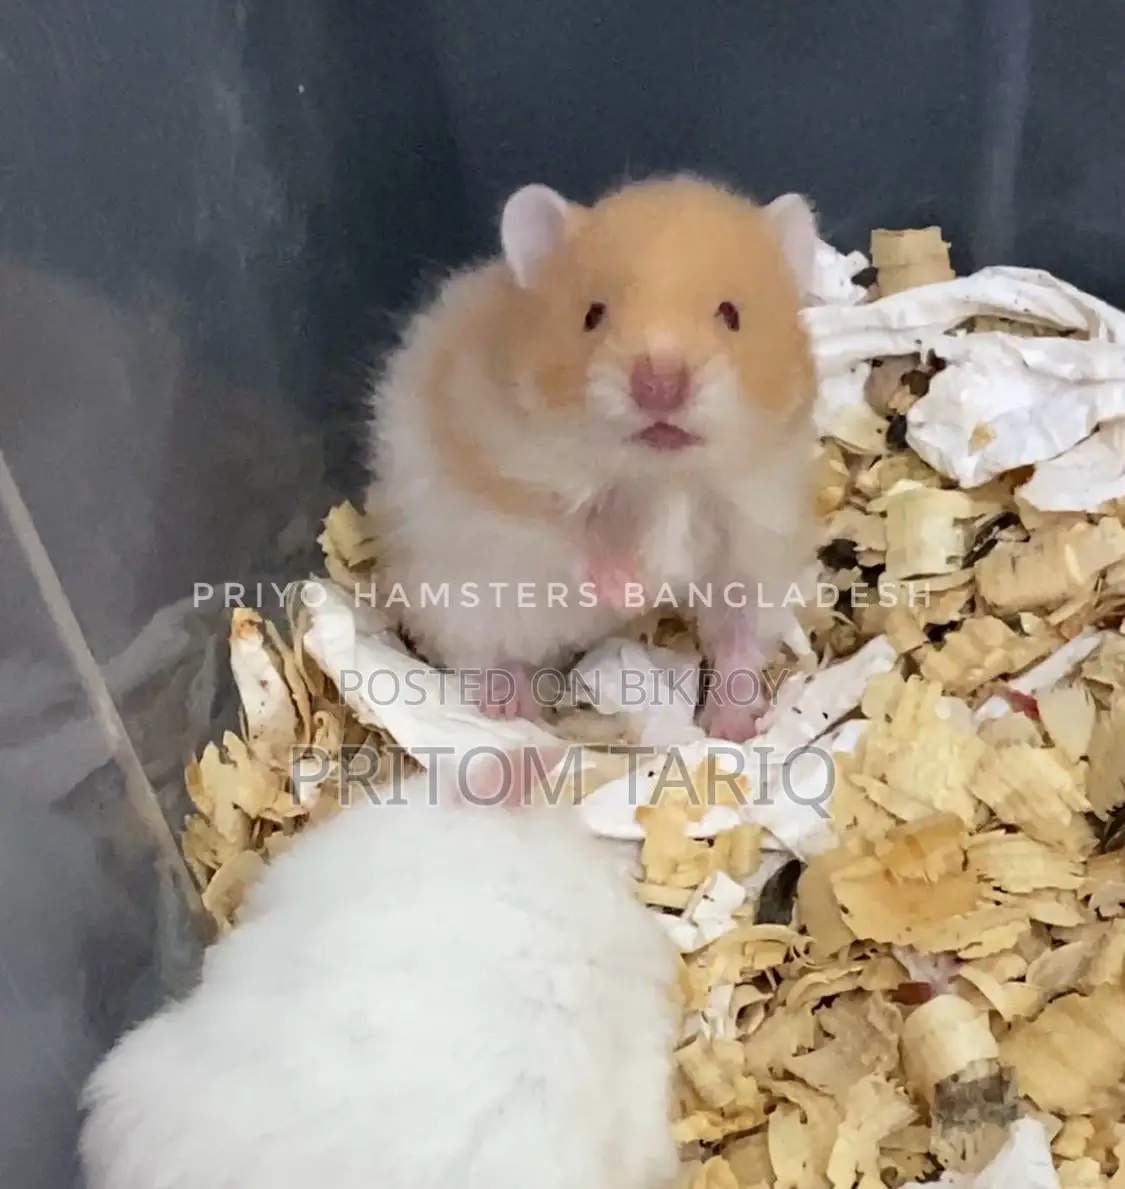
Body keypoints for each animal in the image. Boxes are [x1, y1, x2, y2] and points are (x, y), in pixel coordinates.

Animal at [367, 173, 820, 742]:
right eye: (592, 315)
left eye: (731, 315)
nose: (660, 385)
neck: (662, 477)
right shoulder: (499, 480)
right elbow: (570, 538)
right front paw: (632, 591)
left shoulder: (755, 537)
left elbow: (738, 637)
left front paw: (733, 729)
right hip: (450, 600)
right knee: (485, 658)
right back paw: (511, 713)